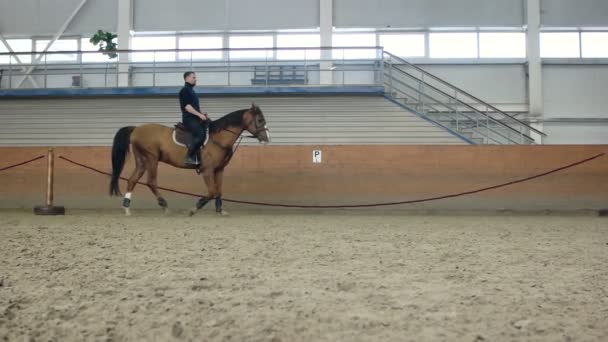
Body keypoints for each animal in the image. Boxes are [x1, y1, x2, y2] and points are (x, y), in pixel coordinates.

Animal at [110, 104, 270, 216]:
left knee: (132, 180)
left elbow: (219, 190)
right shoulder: (207, 170)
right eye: (260, 120)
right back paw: (164, 206)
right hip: (152, 159)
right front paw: (194, 208)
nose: (267, 138)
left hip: (142, 161)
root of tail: (136, 129)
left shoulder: (219, 169)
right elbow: (212, 191)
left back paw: (127, 208)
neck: (218, 138)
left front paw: (220, 210)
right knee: (151, 182)